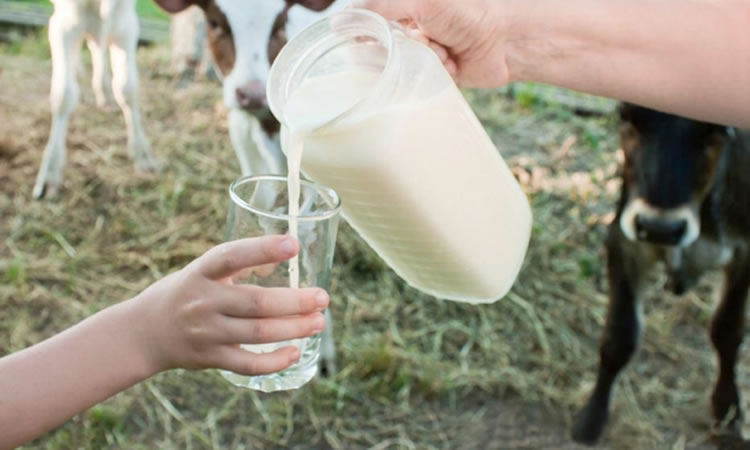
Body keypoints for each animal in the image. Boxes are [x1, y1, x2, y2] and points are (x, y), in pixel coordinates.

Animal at [36, 0, 159, 198]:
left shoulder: (126, 23)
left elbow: (127, 88)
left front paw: (142, 155)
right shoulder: (62, 25)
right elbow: (63, 94)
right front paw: (50, 172)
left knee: (97, 46)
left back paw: (105, 95)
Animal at [572, 103, 748, 444]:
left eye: (716, 128)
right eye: (626, 115)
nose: (660, 228)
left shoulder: (746, 252)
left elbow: (727, 330)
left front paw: (728, 411)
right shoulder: (625, 241)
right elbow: (619, 336)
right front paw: (590, 420)